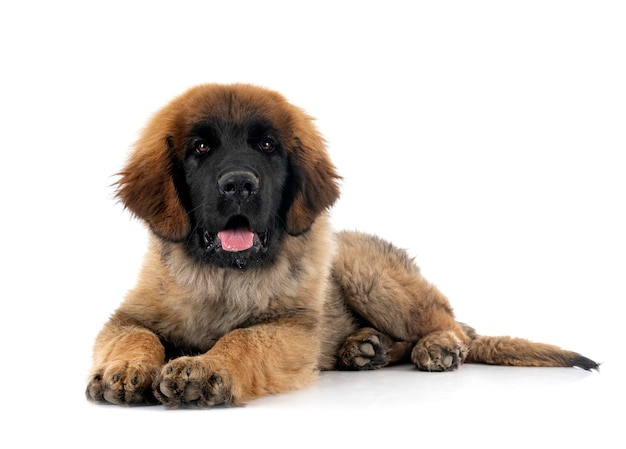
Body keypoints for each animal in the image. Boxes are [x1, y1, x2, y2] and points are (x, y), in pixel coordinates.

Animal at [85, 82, 596, 408]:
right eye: (201, 149)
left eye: (267, 146)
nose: (239, 185)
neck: (224, 278)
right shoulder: (126, 316)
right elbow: (135, 333)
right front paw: (123, 371)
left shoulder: (291, 327)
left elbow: (244, 337)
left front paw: (205, 368)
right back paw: (364, 348)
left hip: (367, 276)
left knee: (452, 325)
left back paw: (436, 346)